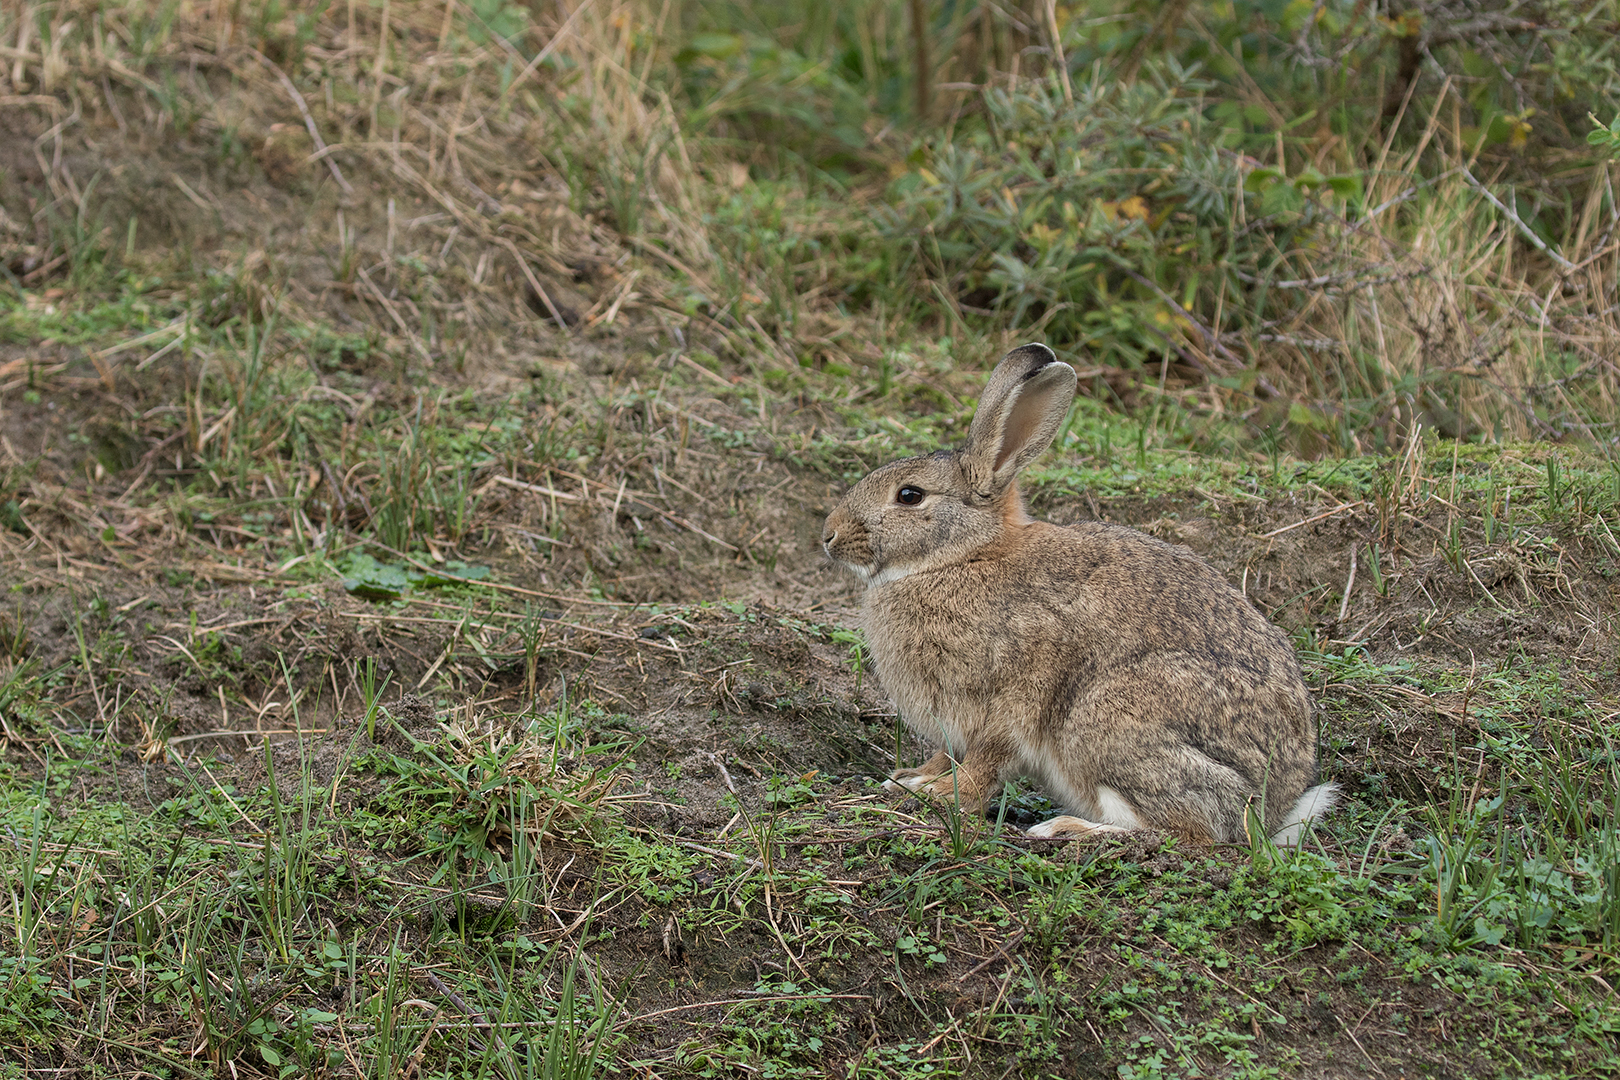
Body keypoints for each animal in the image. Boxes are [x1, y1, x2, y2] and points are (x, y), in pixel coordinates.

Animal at [822, 343, 1337, 845]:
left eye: (909, 495)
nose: (829, 535)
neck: (963, 556)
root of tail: (1274, 810)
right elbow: (944, 755)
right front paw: (909, 779)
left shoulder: (1009, 700)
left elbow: (987, 760)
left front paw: (944, 795)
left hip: (1106, 721)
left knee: (1190, 830)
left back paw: (1066, 828)